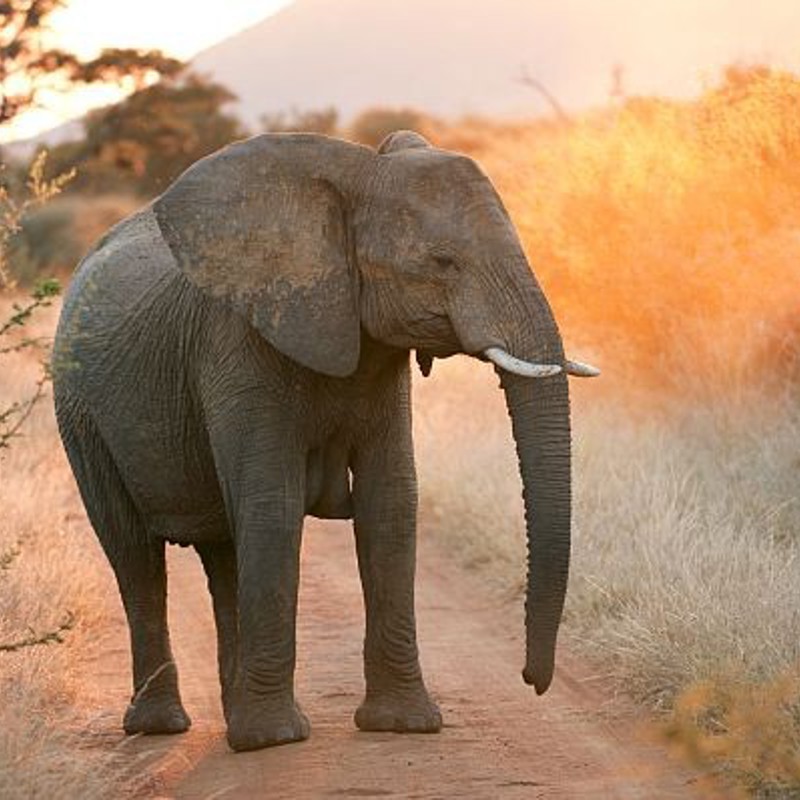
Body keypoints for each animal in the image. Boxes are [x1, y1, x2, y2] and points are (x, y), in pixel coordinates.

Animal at [52, 129, 598, 753]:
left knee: (224, 554)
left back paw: (233, 717)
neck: (353, 182)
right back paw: (167, 726)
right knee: (134, 555)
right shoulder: (237, 345)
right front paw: (275, 740)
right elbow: (273, 506)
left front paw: (404, 725)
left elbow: (392, 502)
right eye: (441, 262)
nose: (532, 679)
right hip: (81, 416)